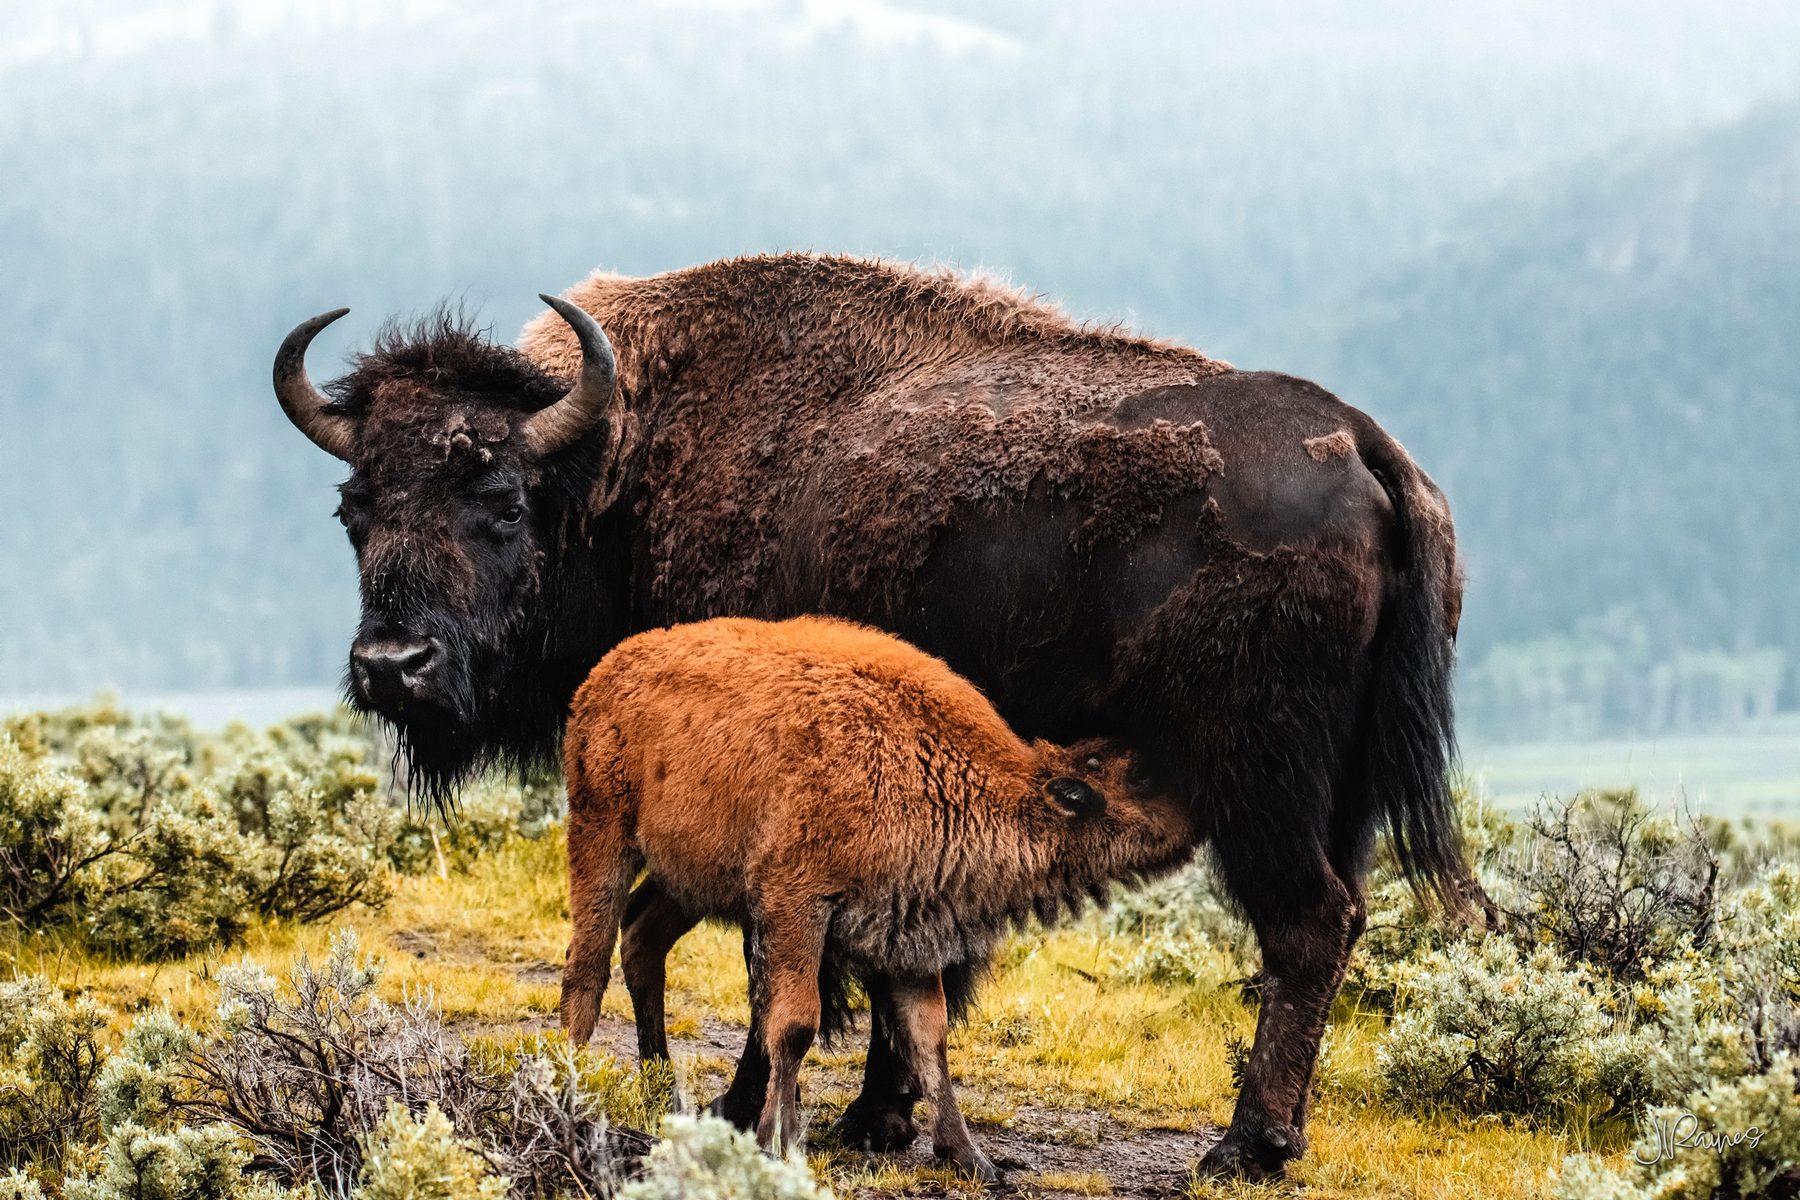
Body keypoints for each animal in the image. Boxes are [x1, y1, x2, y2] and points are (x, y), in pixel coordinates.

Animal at [270, 253, 1466, 1178]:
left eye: (503, 501)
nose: (392, 666)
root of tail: (1367, 449)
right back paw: (1278, 1135)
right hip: (1342, 795)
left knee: (1307, 922)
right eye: (354, 507)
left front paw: (764, 1110)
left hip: (1260, 786)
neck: (625, 464)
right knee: (1344, 915)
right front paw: (877, 1116)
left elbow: (784, 974)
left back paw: (1243, 1147)